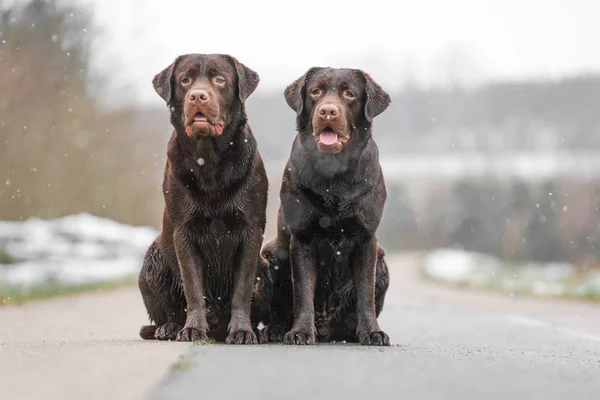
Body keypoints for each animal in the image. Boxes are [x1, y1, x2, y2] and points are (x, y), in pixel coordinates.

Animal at [137, 54, 268, 344]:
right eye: (185, 80)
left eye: (219, 79)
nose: (198, 96)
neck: (210, 162)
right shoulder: (184, 233)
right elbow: (193, 289)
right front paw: (192, 329)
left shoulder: (251, 232)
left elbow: (242, 290)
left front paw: (242, 331)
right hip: (151, 263)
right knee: (168, 311)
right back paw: (169, 328)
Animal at [258, 67, 392, 346]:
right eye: (315, 92)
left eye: (349, 94)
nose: (327, 111)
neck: (334, 175)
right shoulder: (303, 238)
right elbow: (303, 292)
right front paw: (300, 331)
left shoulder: (366, 238)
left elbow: (365, 294)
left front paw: (372, 332)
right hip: (269, 254)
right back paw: (275, 330)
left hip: (382, 259)